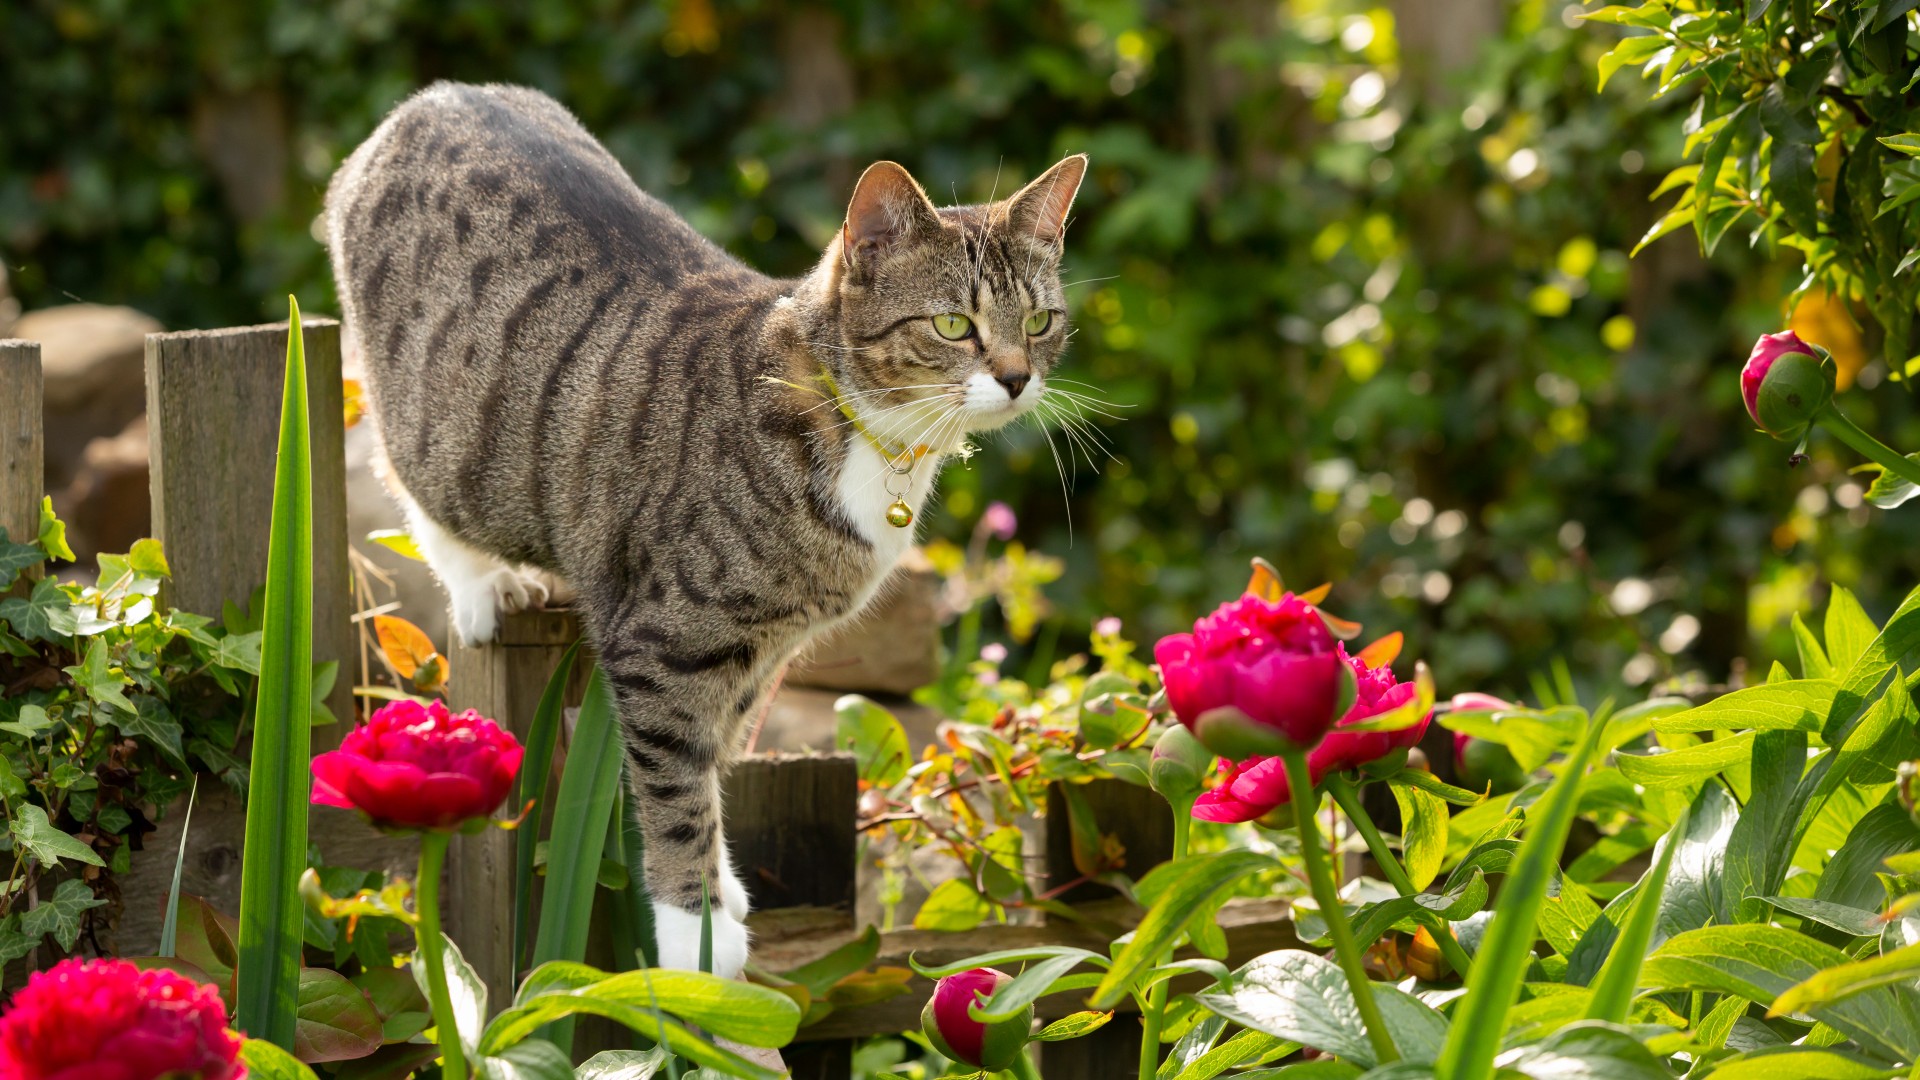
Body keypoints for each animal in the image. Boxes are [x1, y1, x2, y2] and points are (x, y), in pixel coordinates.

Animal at [322, 82, 1090, 976]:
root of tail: (430, 98)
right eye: (952, 326)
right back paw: (485, 585)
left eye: (1039, 322)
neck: (864, 430)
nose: (1017, 378)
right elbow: (677, 783)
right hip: (440, 432)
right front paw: (698, 930)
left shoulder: (763, 650)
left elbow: (719, 755)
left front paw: (724, 891)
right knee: (409, 477)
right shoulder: (663, 642)